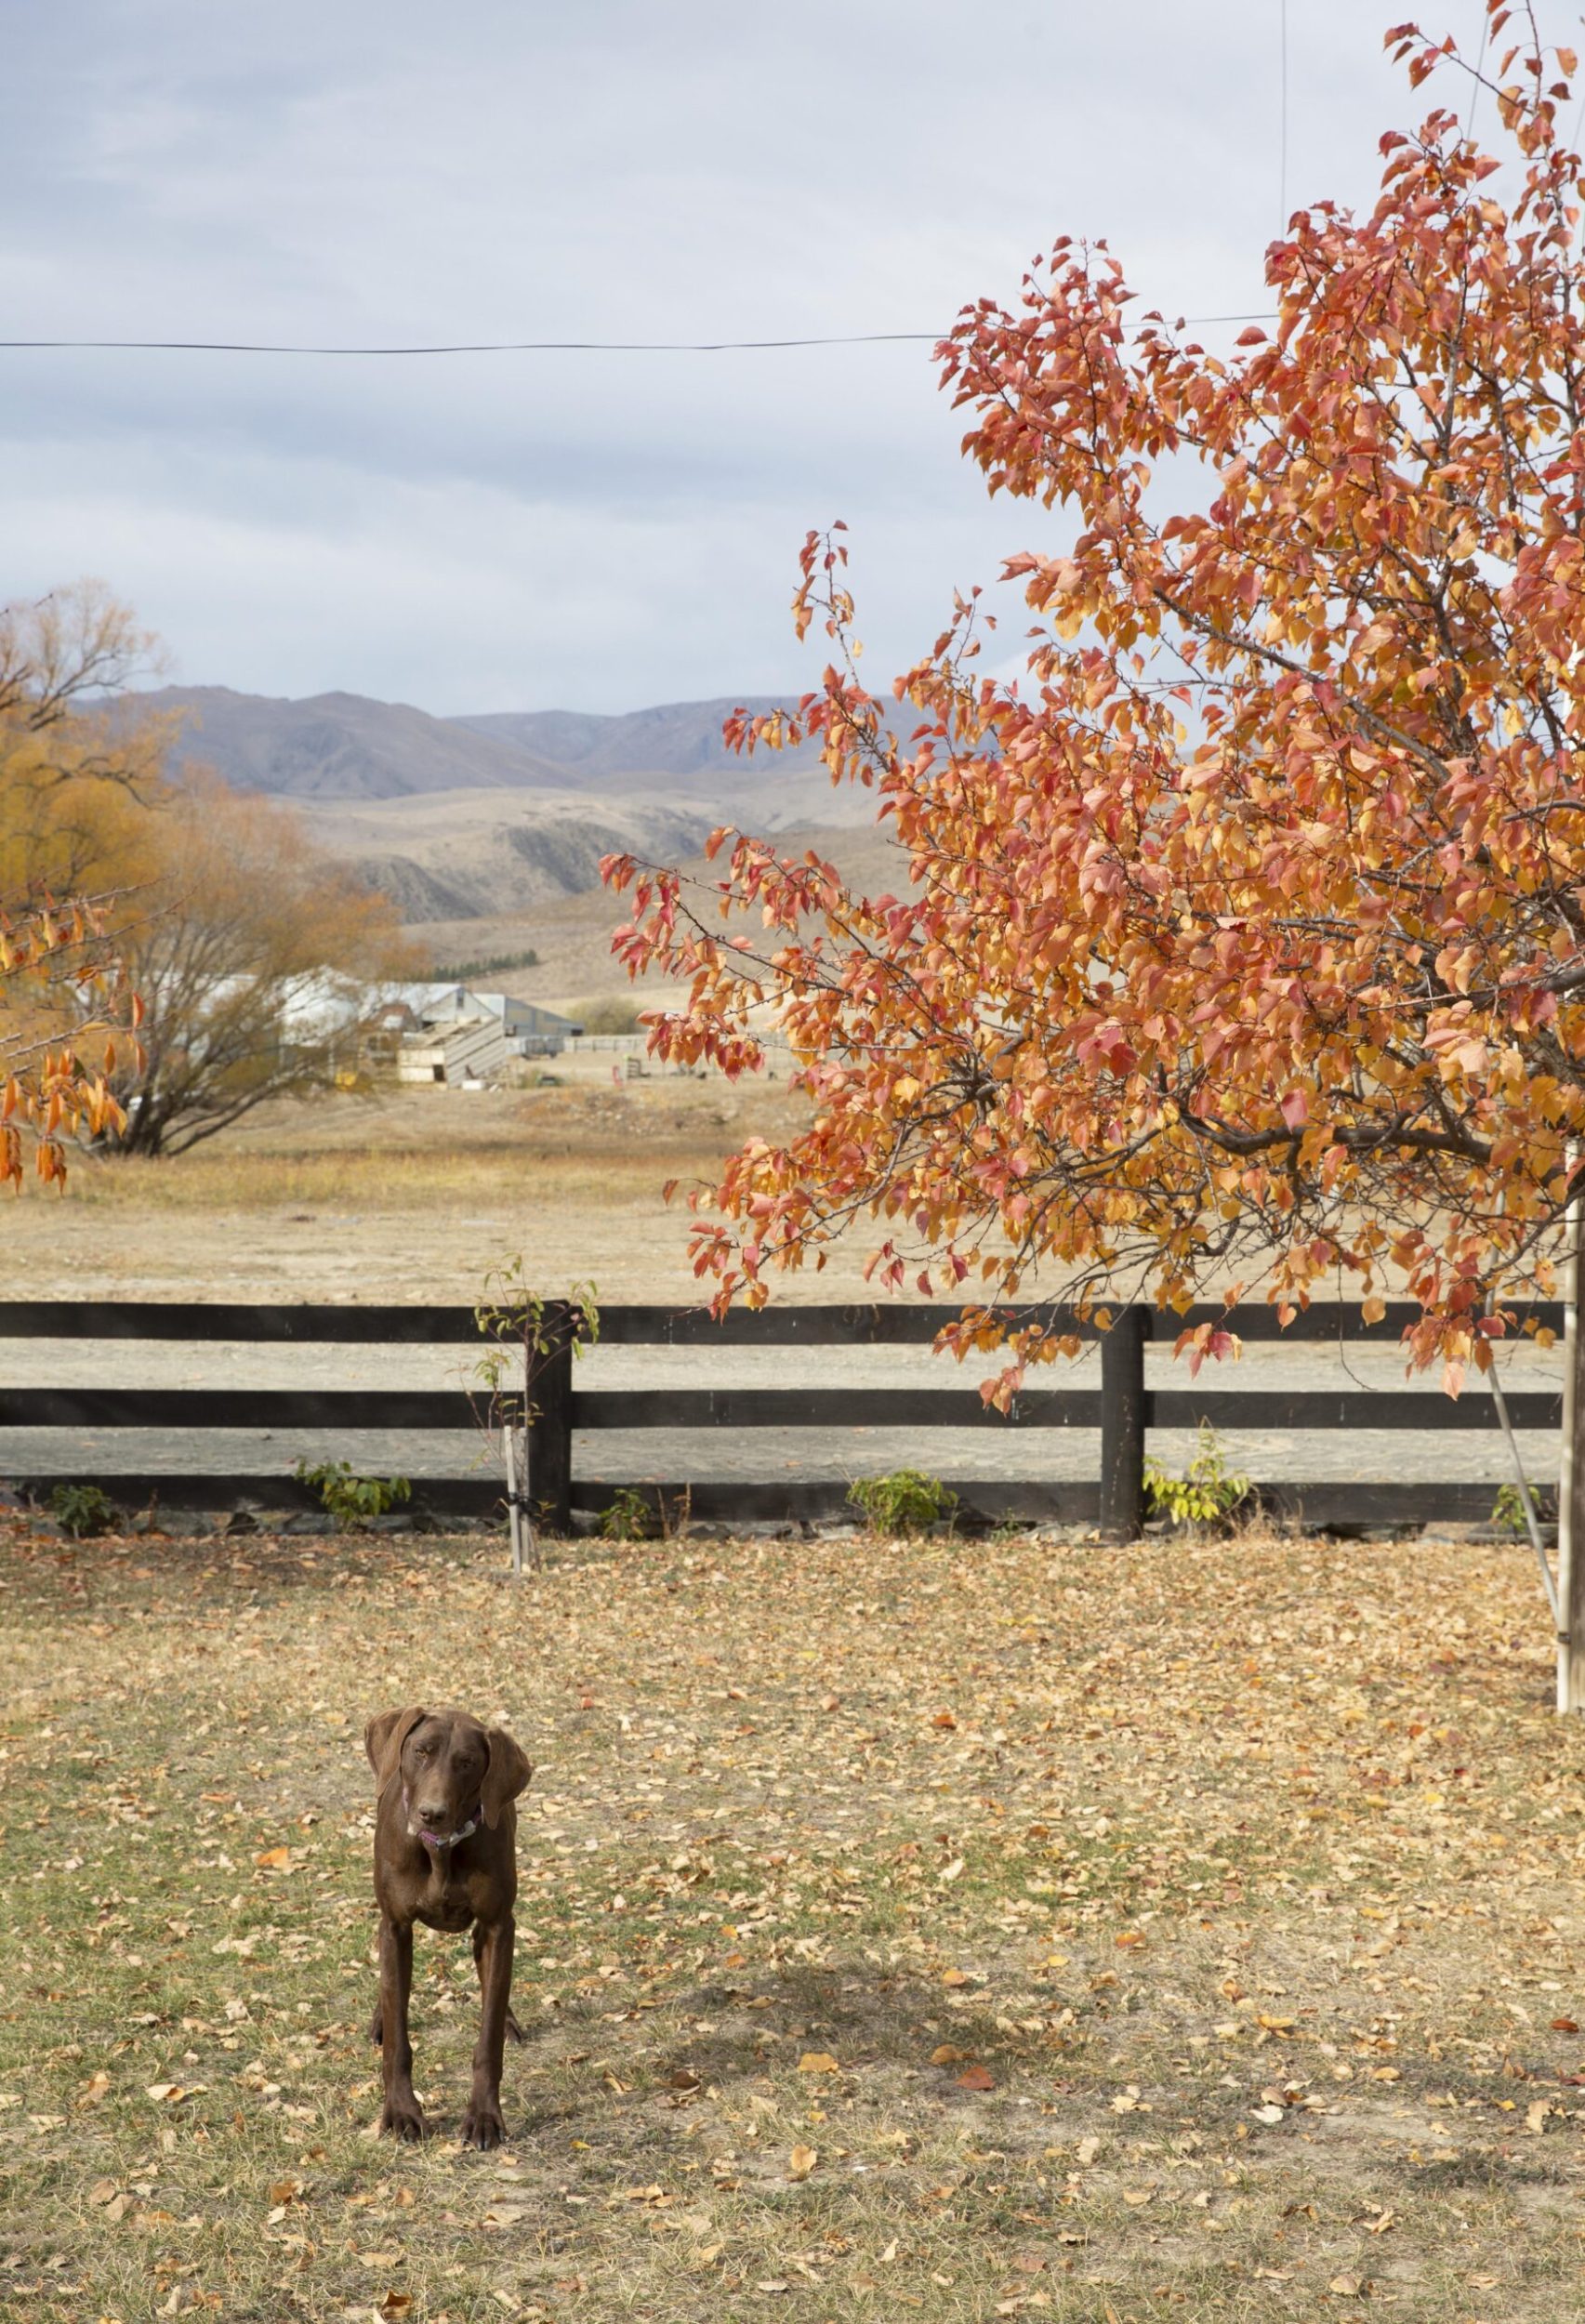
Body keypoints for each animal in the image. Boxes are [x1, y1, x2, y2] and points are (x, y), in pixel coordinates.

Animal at [363, 1710, 530, 2138]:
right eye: (421, 1752)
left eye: (467, 1762)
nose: (431, 1813)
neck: (442, 1851)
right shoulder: (395, 1926)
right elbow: (398, 2038)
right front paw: (402, 2112)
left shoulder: (498, 1925)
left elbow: (489, 2036)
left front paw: (485, 2115)